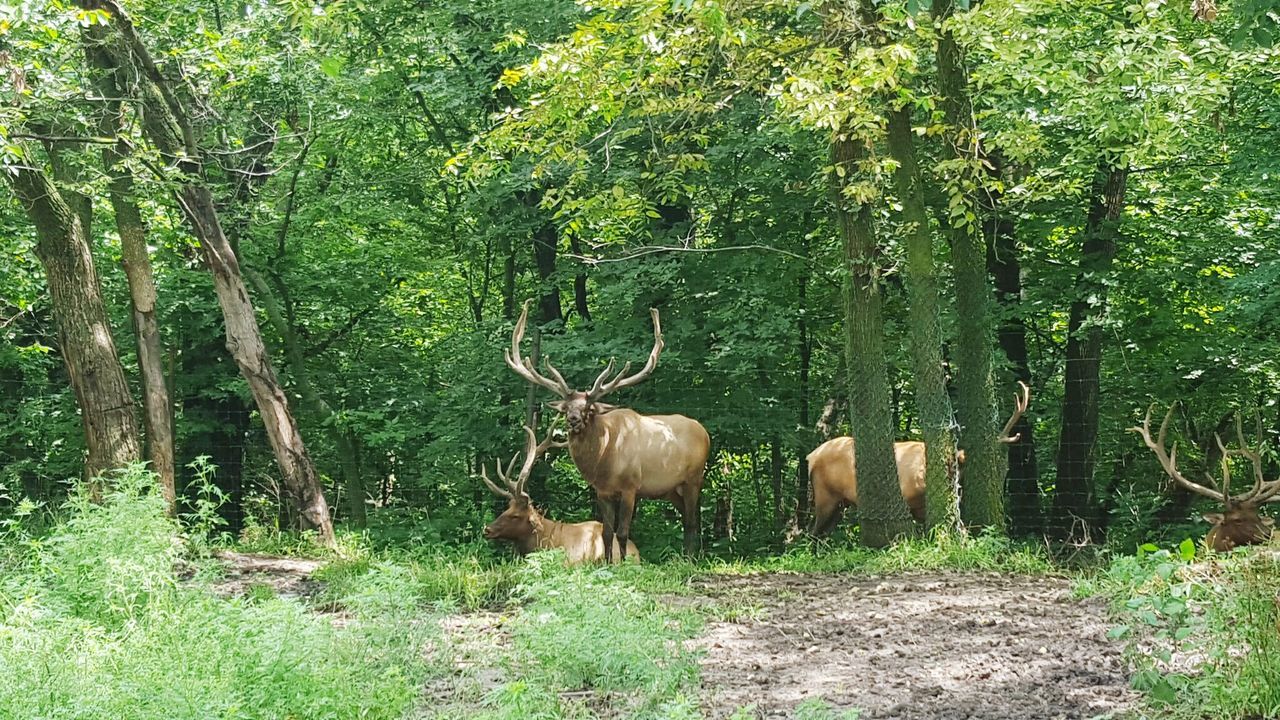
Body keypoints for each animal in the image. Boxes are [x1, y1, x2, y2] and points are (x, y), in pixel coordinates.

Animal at [506, 299, 711, 558]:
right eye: (566, 407)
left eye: (588, 408)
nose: (573, 419)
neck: (605, 462)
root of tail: (704, 432)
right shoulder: (602, 492)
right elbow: (606, 533)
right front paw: (606, 562)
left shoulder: (631, 487)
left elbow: (622, 533)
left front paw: (624, 563)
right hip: (672, 489)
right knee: (687, 518)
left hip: (694, 477)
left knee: (692, 521)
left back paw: (690, 558)